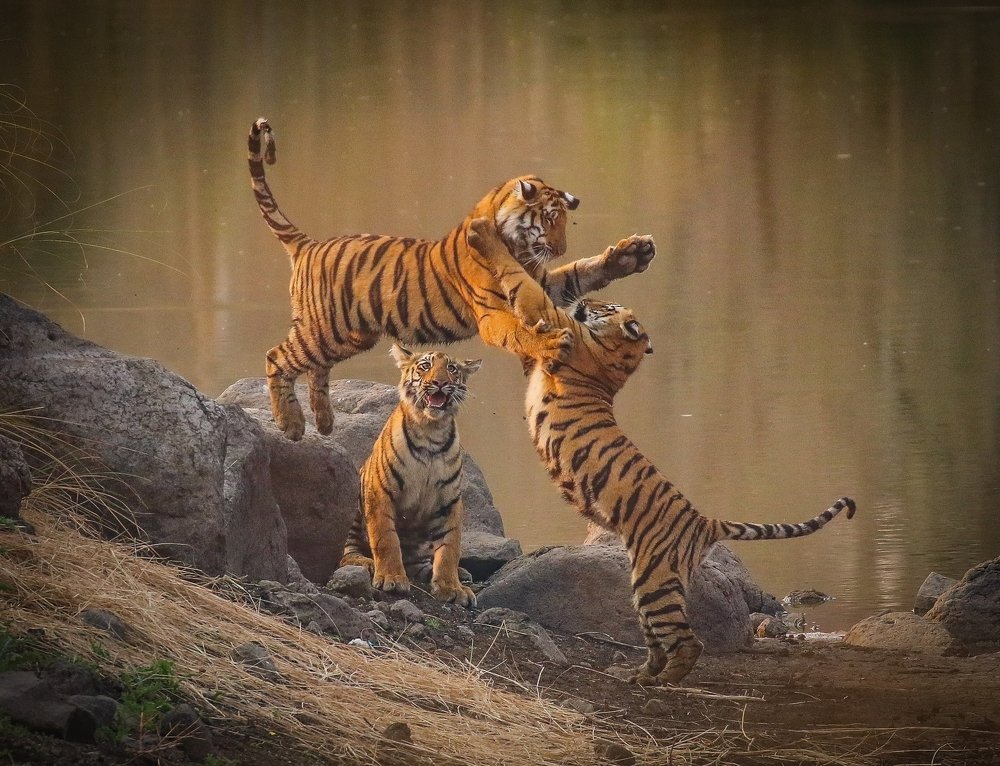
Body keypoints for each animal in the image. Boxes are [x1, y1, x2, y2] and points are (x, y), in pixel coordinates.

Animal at [247, 117, 655, 440]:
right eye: (550, 219)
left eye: (564, 221)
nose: (560, 248)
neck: (516, 246)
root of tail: (309, 244)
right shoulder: (494, 314)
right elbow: (521, 332)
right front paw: (551, 344)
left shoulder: (542, 282)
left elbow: (579, 274)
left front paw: (631, 254)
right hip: (323, 329)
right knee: (277, 357)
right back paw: (291, 424)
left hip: (347, 336)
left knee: (316, 368)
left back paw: (325, 421)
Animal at [339, 343, 481, 607]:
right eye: (425, 366)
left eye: (452, 369)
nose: (439, 382)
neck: (432, 431)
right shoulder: (380, 492)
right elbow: (386, 538)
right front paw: (391, 578)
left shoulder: (450, 501)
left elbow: (449, 547)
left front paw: (452, 587)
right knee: (346, 551)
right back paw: (366, 563)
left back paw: (460, 573)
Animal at [465, 216, 856, 684]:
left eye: (607, 307)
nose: (589, 301)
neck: (619, 357)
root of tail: (703, 521)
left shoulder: (554, 324)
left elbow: (524, 284)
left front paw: (483, 236)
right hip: (647, 583)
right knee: (659, 639)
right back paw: (638, 674)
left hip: (655, 581)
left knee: (689, 643)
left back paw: (662, 680)